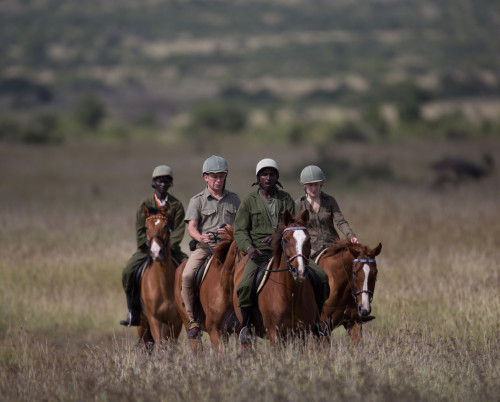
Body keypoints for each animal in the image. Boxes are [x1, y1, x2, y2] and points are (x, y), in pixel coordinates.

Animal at [138, 206, 183, 348]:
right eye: (146, 227)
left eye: (166, 226)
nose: (156, 252)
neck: (162, 284)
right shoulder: (154, 319)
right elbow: (159, 344)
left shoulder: (175, 321)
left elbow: (170, 344)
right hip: (142, 324)